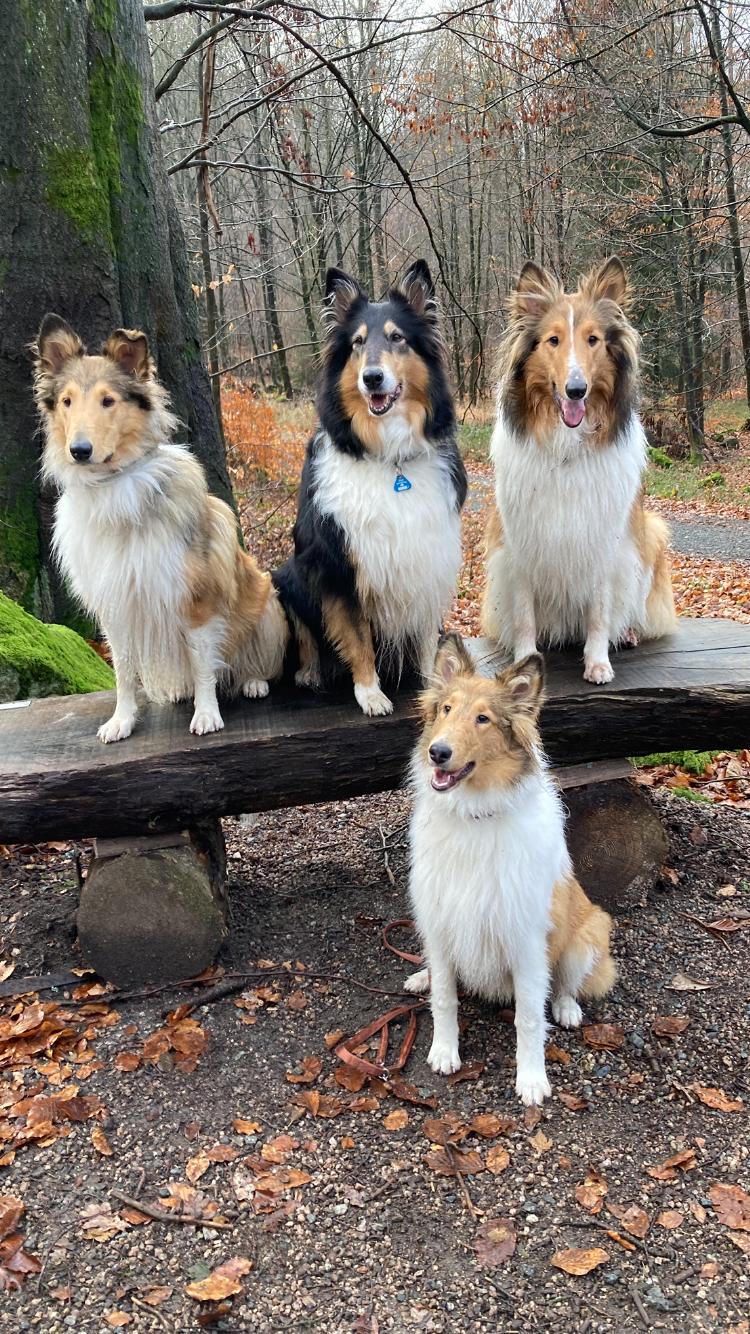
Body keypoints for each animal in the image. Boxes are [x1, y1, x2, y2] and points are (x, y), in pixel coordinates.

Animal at [34, 314, 288, 741]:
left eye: (108, 400)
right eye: (67, 401)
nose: (79, 451)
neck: (114, 486)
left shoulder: (196, 600)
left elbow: (203, 663)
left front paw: (206, 714)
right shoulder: (116, 608)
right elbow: (123, 673)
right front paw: (122, 720)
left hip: (267, 606)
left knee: (253, 661)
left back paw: (253, 681)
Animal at [274, 260, 467, 715]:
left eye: (397, 338)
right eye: (358, 342)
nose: (372, 378)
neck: (388, 457)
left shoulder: (427, 554)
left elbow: (425, 636)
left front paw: (434, 683)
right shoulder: (337, 564)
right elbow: (357, 636)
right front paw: (370, 692)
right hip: (287, 575)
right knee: (307, 639)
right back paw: (310, 672)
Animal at [405, 634, 616, 1105]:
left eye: (483, 718)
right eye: (447, 709)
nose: (437, 752)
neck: (473, 816)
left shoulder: (525, 940)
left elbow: (529, 1018)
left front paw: (532, 1080)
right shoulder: (439, 923)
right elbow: (445, 998)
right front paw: (444, 1051)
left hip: (588, 933)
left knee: (565, 984)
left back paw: (567, 1008)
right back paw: (421, 976)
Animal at [481, 256, 676, 683]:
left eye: (593, 340)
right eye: (553, 340)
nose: (576, 390)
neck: (566, 446)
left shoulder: (602, 538)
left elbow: (599, 612)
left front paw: (597, 661)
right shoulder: (520, 542)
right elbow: (524, 615)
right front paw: (524, 663)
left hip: (650, 533)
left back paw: (628, 632)